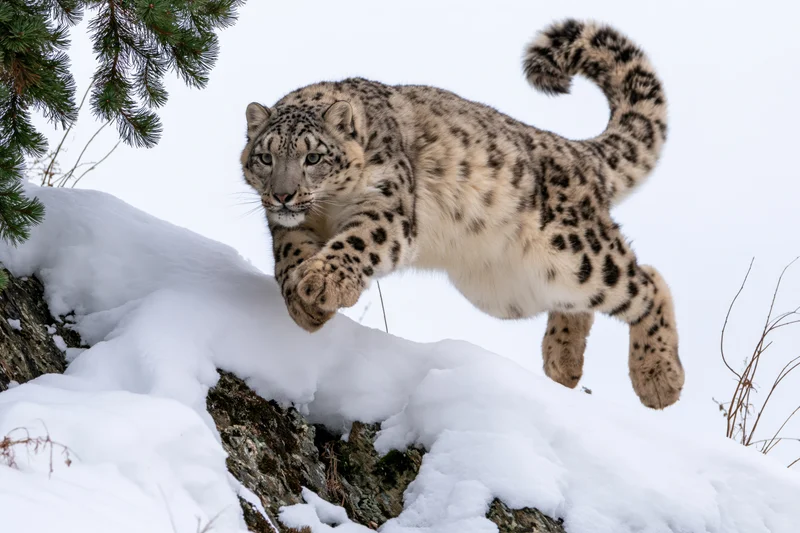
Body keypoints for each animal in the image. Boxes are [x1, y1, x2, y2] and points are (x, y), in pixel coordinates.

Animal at [240, 19, 684, 409]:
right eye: (265, 157)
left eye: (313, 157)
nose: (283, 194)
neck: (329, 209)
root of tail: (573, 149)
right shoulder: (286, 225)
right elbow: (288, 255)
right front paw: (305, 306)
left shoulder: (387, 207)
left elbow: (357, 241)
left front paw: (321, 283)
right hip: (510, 292)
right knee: (580, 301)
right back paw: (564, 360)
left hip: (575, 252)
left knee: (646, 281)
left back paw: (659, 379)